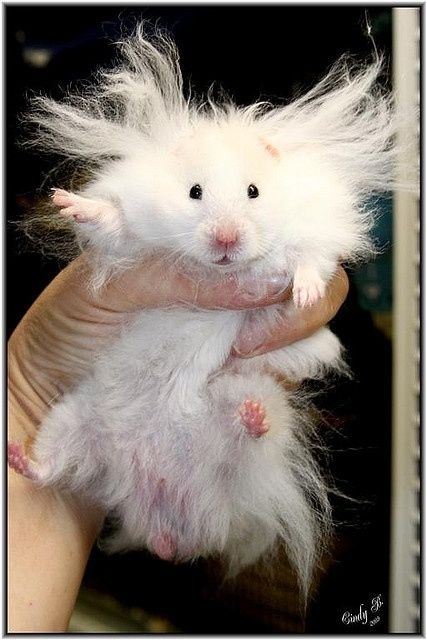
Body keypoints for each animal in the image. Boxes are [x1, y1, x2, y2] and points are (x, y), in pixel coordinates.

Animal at [7, 26, 402, 600]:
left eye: (254, 191)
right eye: (194, 192)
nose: (226, 240)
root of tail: (155, 497)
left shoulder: (318, 233)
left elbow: (310, 259)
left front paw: (305, 296)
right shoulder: (133, 237)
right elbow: (115, 224)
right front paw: (69, 203)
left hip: (237, 409)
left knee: (248, 441)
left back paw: (252, 420)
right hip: (72, 419)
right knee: (52, 465)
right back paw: (18, 459)